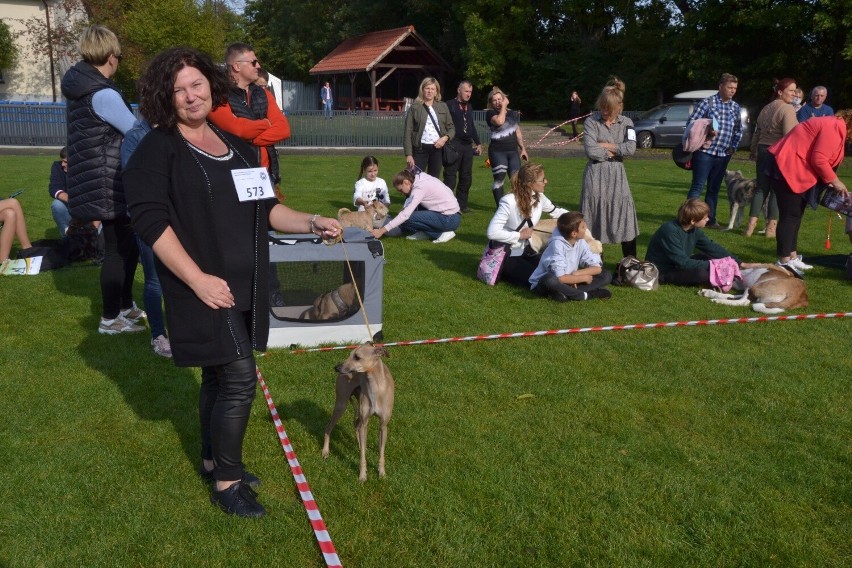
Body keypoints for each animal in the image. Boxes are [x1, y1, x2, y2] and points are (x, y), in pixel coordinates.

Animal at [322, 344, 396, 482]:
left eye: (357, 357)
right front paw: (362, 475)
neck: (376, 387)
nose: (337, 368)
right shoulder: (365, 422)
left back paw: (361, 445)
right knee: (329, 426)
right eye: (350, 354)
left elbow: (381, 453)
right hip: (341, 404)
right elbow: (362, 457)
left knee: (357, 426)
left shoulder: (383, 426)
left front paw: (381, 473)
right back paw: (325, 451)